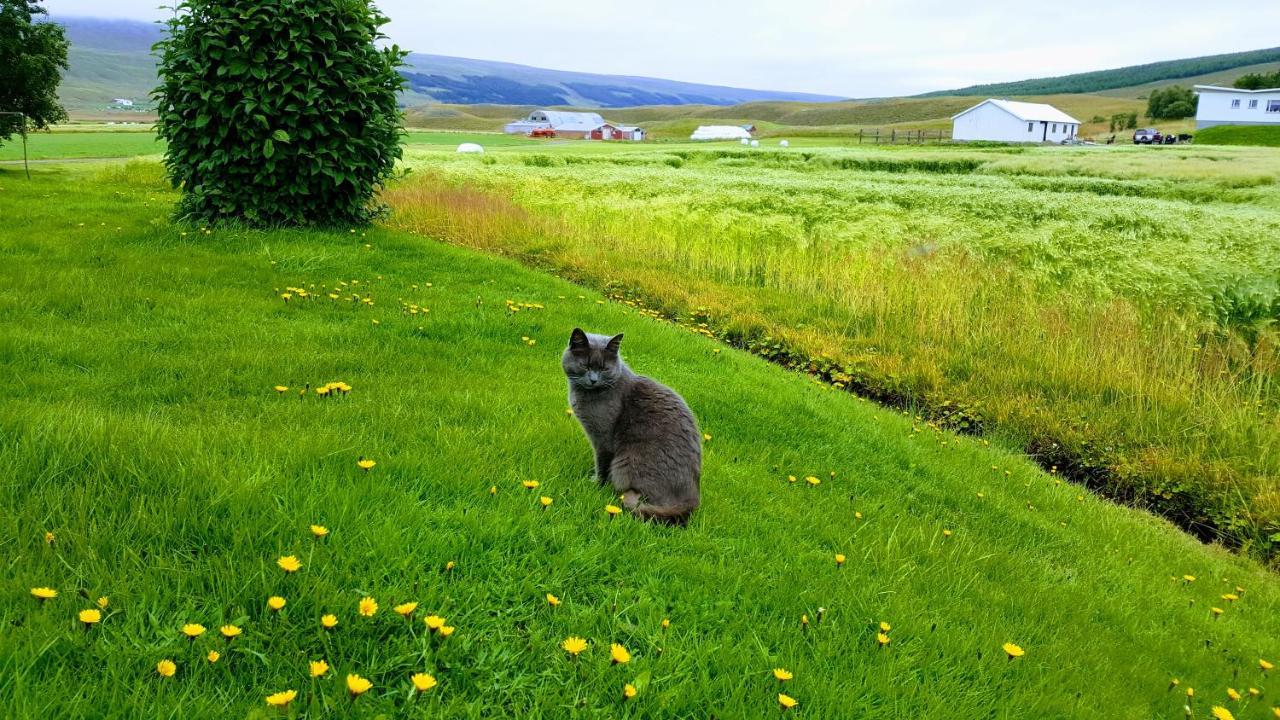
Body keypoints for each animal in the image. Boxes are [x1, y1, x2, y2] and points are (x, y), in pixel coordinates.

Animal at [560, 327, 701, 525]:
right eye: (586, 366)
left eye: (604, 368)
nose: (594, 380)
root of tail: (693, 499)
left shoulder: (603, 441)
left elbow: (602, 464)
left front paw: (595, 483)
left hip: (627, 462)